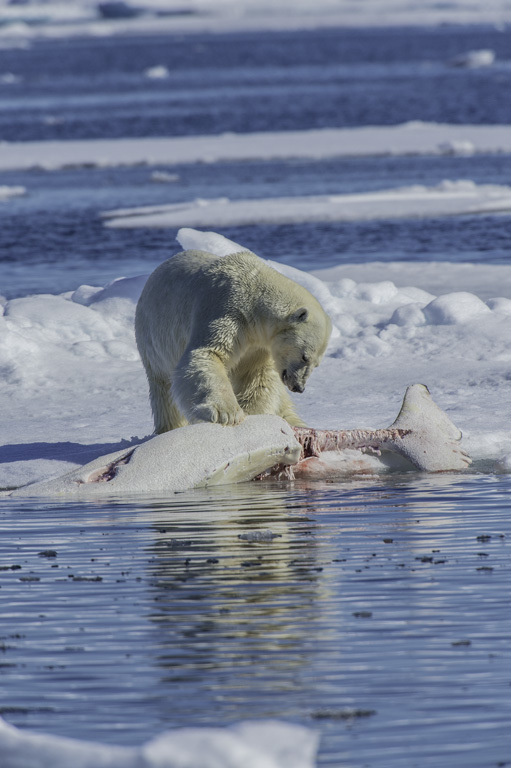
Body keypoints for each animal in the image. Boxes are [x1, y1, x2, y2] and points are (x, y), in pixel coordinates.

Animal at [134, 250, 332, 436]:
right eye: (305, 357)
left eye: (316, 364)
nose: (299, 387)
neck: (253, 293)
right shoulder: (225, 309)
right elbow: (209, 353)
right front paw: (227, 414)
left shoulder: (258, 345)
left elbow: (255, 377)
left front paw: (253, 415)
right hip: (154, 338)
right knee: (164, 391)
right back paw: (169, 428)